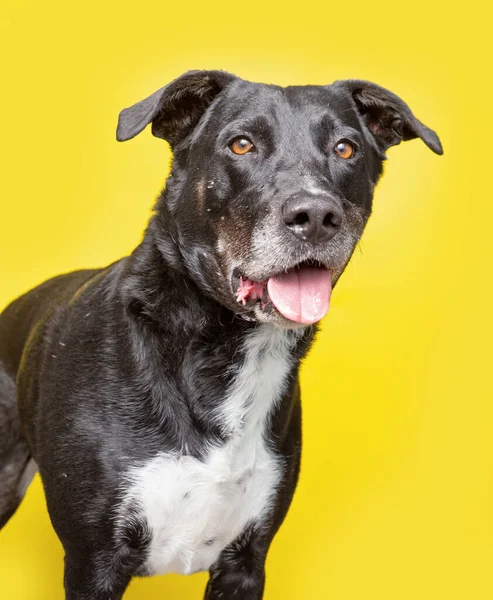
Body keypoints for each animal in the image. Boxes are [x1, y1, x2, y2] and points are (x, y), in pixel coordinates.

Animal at [0, 69, 440, 596]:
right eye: (241, 144)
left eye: (345, 148)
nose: (315, 216)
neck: (215, 349)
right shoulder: (93, 564)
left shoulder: (245, 561)